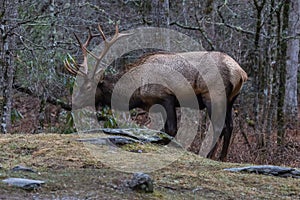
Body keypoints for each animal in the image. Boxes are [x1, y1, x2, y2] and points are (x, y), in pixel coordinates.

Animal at [64, 24, 247, 161]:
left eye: (88, 87)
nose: (73, 102)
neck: (136, 90)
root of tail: (240, 73)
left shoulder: (165, 97)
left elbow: (171, 129)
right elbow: (164, 130)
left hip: (213, 96)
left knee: (219, 126)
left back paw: (209, 156)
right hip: (231, 100)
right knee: (230, 126)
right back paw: (222, 158)